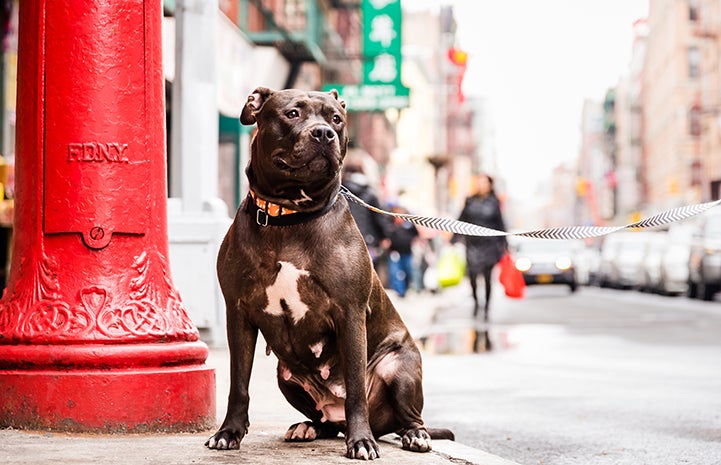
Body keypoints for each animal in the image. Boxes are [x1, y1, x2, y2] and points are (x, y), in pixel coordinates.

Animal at [202, 86, 450, 456]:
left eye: (336, 118)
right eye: (292, 113)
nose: (323, 133)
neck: (287, 217)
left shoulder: (350, 313)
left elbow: (356, 389)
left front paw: (361, 442)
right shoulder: (239, 313)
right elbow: (239, 382)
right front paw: (229, 432)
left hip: (400, 366)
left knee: (407, 416)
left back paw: (413, 434)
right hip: (285, 375)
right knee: (327, 423)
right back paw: (307, 426)